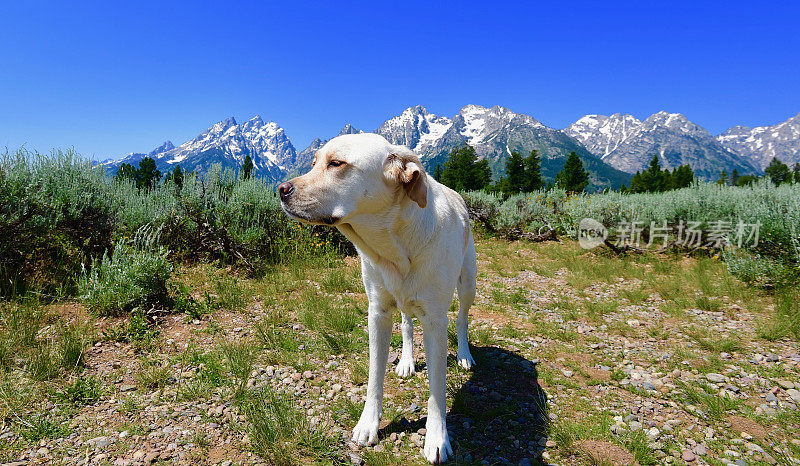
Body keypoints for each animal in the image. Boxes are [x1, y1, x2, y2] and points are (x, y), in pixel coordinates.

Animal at [278, 132, 476, 462]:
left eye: (337, 163)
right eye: (314, 162)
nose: (281, 189)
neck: (394, 247)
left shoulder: (436, 320)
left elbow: (437, 389)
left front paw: (437, 438)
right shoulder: (378, 312)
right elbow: (374, 376)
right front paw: (368, 424)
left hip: (468, 283)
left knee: (462, 319)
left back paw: (463, 355)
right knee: (407, 322)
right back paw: (407, 361)